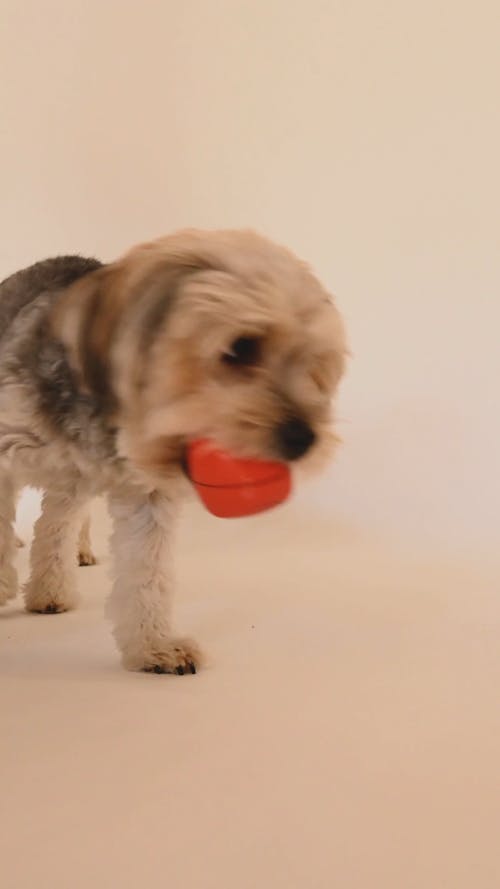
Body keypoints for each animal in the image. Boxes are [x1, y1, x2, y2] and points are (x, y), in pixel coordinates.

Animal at [0, 229, 346, 672]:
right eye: (241, 347)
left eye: (311, 361)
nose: (305, 439)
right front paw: (2, 583)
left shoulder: (145, 496)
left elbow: (146, 572)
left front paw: (154, 646)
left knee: (59, 524)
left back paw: (56, 583)